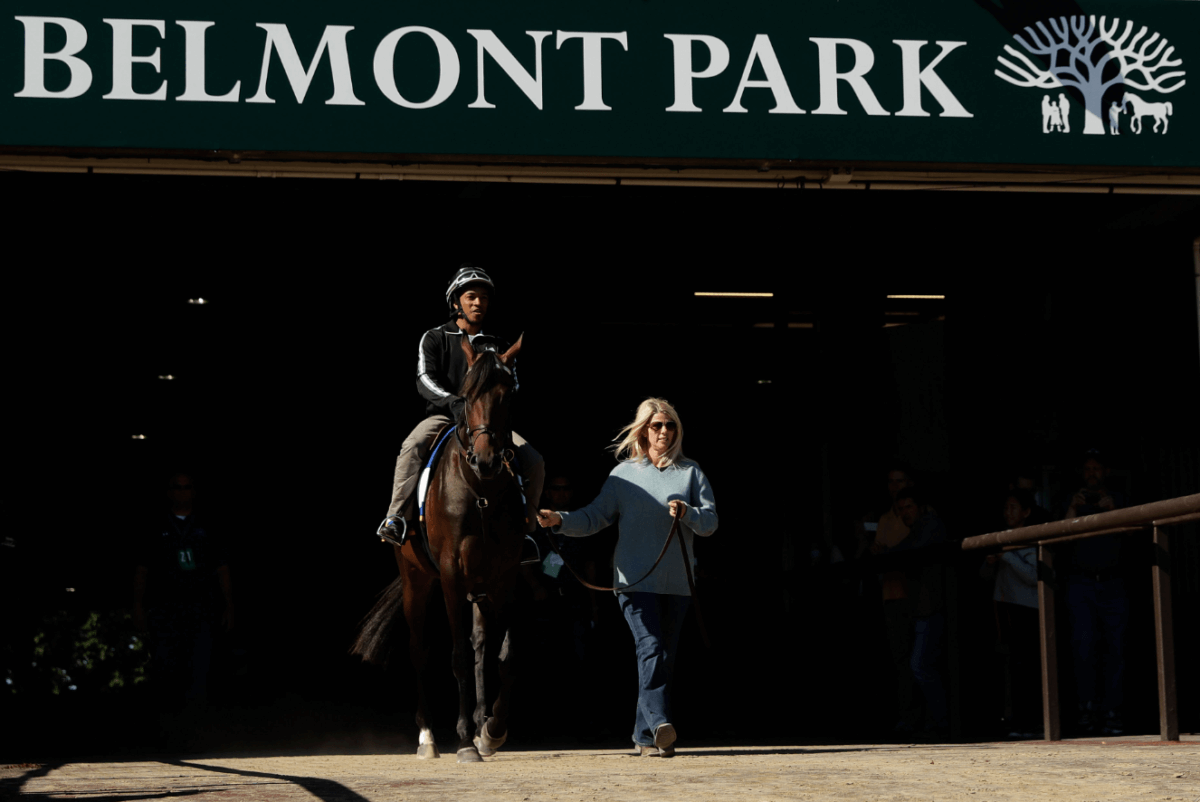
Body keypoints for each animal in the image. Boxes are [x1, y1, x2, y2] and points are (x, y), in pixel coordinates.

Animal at [352, 336, 528, 763]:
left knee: (481, 645)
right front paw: (464, 741)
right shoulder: (450, 574)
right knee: (419, 649)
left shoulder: (505, 576)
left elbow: (504, 657)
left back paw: (481, 727)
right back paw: (428, 737)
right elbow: (458, 657)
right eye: (465, 397)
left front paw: (492, 731)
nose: (486, 459)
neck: (480, 491)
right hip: (416, 580)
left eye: (508, 394)